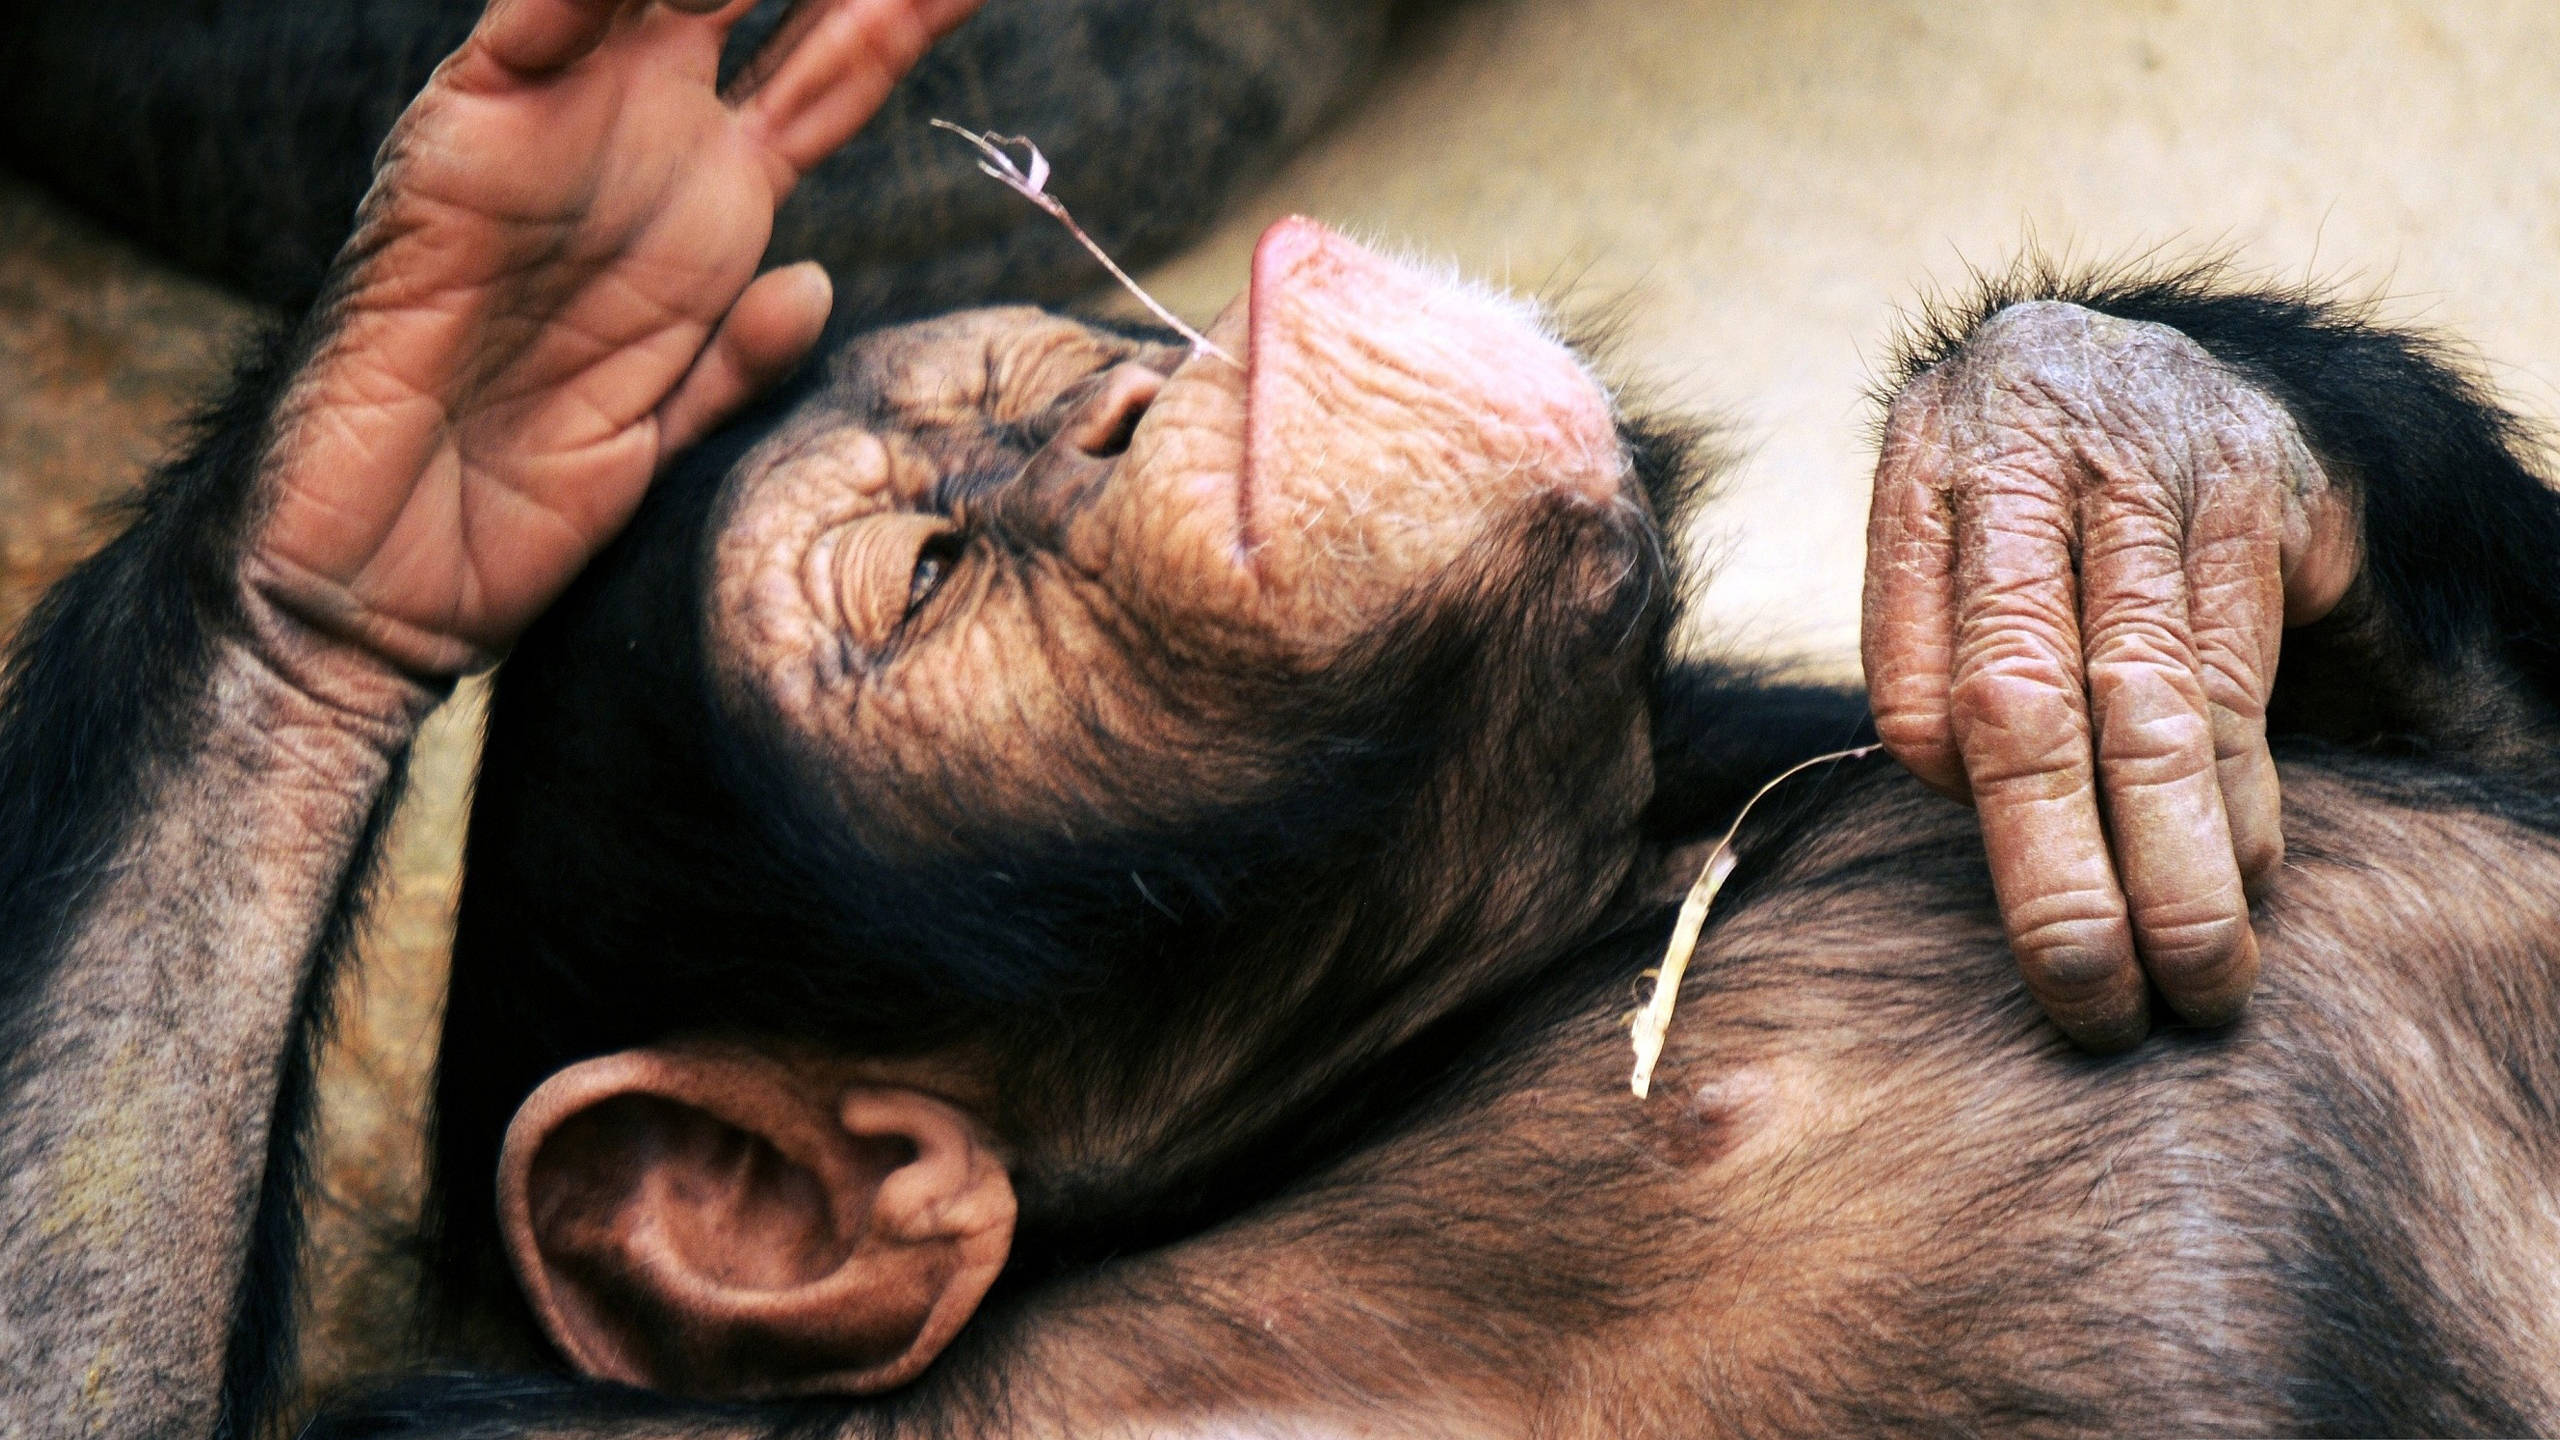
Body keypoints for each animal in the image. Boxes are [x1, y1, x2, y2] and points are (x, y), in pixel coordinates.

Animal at [8, 0, 2560, 1436]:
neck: (1425, 1058)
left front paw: (2085, 461)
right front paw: (402, 428)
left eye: (1027, 372)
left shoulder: (1744, 730)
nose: (1124, 401)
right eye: (929, 577)